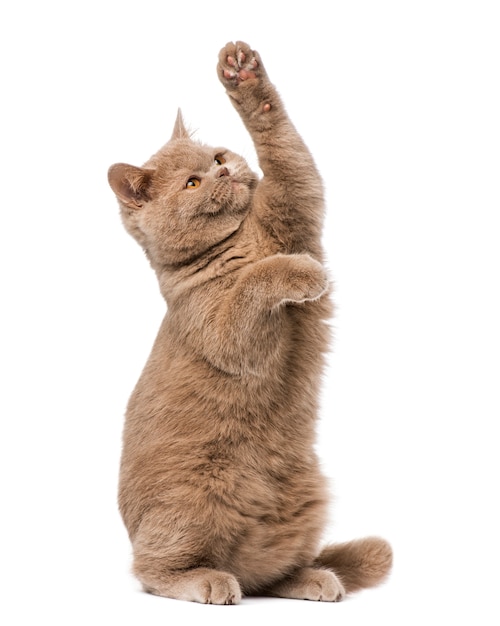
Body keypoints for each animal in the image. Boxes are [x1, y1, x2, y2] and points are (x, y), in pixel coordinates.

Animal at [108, 40, 390, 604]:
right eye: (192, 182)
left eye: (217, 157)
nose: (223, 172)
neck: (242, 240)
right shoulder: (226, 333)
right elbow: (253, 283)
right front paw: (302, 272)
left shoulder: (296, 203)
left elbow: (285, 150)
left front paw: (243, 76)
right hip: (188, 503)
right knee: (153, 572)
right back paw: (208, 580)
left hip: (305, 500)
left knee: (269, 574)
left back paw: (313, 577)